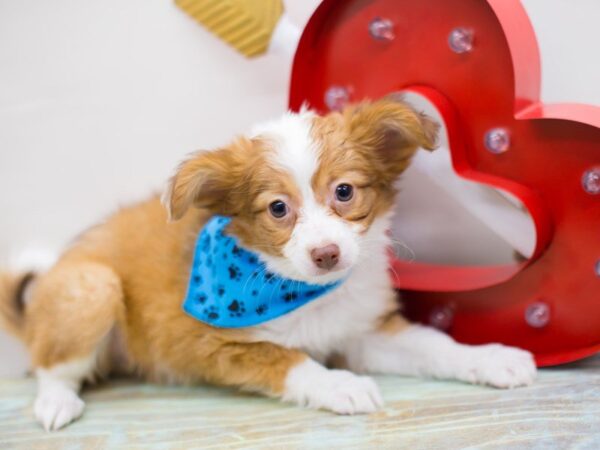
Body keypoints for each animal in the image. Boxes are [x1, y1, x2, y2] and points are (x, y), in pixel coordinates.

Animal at [0, 99, 536, 432]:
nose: (327, 254)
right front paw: (338, 384)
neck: (305, 291)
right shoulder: (213, 344)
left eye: (344, 191)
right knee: (51, 367)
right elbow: (288, 359)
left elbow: (434, 345)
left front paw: (491, 358)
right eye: (278, 208)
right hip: (92, 286)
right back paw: (55, 402)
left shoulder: (363, 334)